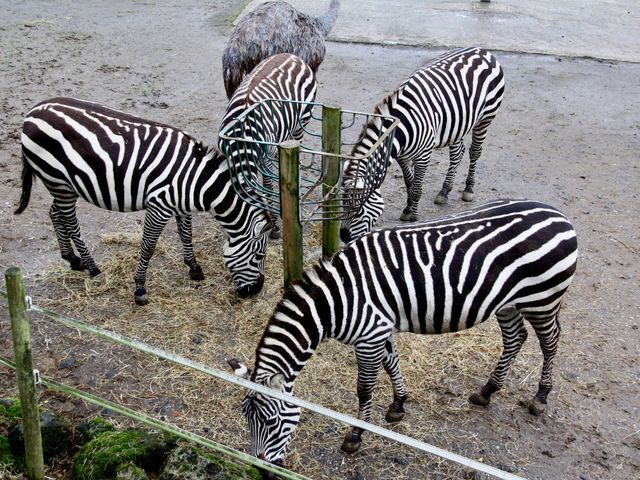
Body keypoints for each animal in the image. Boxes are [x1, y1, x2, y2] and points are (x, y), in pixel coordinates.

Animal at [16, 96, 274, 304]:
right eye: (259, 256)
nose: (256, 291)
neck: (199, 182)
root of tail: (33, 111)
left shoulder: (181, 206)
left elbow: (186, 235)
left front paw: (194, 268)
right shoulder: (159, 207)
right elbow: (148, 246)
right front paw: (140, 288)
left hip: (62, 184)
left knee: (55, 212)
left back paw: (71, 259)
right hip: (57, 180)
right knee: (70, 221)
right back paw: (92, 267)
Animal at [230, 199, 580, 464]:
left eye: (272, 423)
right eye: (246, 419)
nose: (260, 468)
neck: (335, 300)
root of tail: (558, 214)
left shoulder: (369, 336)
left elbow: (364, 389)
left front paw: (356, 435)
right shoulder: (380, 329)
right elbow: (392, 363)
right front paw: (398, 404)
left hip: (543, 298)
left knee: (550, 342)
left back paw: (540, 397)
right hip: (508, 302)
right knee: (515, 338)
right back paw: (487, 391)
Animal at [338, 47, 508, 244]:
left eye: (358, 211)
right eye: (341, 206)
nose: (343, 238)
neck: (401, 127)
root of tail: (482, 50)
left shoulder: (424, 155)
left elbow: (417, 189)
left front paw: (414, 218)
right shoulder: (402, 156)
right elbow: (409, 183)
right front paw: (407, 209)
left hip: (486, 118)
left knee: (475, 152)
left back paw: (468, 188)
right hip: (455, 126)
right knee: (457, 153)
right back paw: (444, 191)